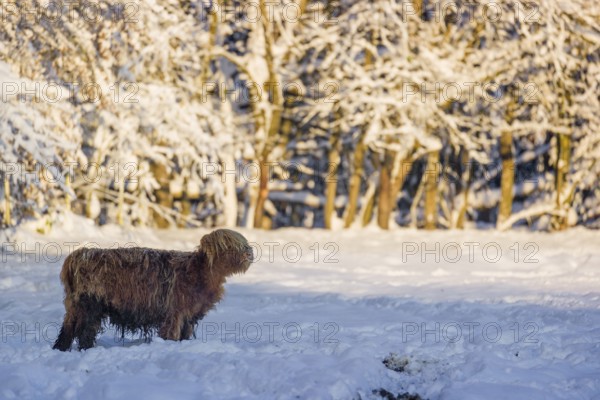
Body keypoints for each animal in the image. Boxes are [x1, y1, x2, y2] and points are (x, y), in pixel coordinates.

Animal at [54, 230, 253, 352]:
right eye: (228, 245)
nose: (249, 252)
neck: (200, 273)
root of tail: (78, 255)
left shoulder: (189, 315)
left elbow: (184, 334)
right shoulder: (175, 312)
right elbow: (171, 333)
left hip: (76, 306)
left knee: (68, 328)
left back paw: (60, 348)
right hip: (90, 304)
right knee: (84, 330)